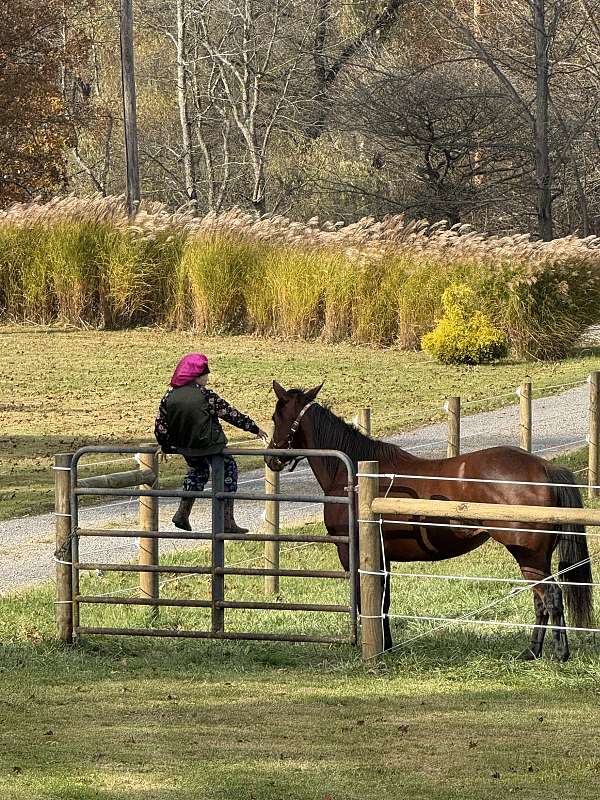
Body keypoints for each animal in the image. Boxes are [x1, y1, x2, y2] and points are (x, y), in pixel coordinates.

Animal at [265, 381, 594, 661]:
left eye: (275, 415)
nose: (271, 458)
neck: (353, 474)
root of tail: (544, 468)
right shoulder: (383, 556)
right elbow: (383, 602)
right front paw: (386, 646)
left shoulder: (351, 553)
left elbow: (364, 601)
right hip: (535, 558)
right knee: (541, 601)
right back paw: (531, 652)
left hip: (529, 555)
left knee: (551, 597)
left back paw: (559, 653)